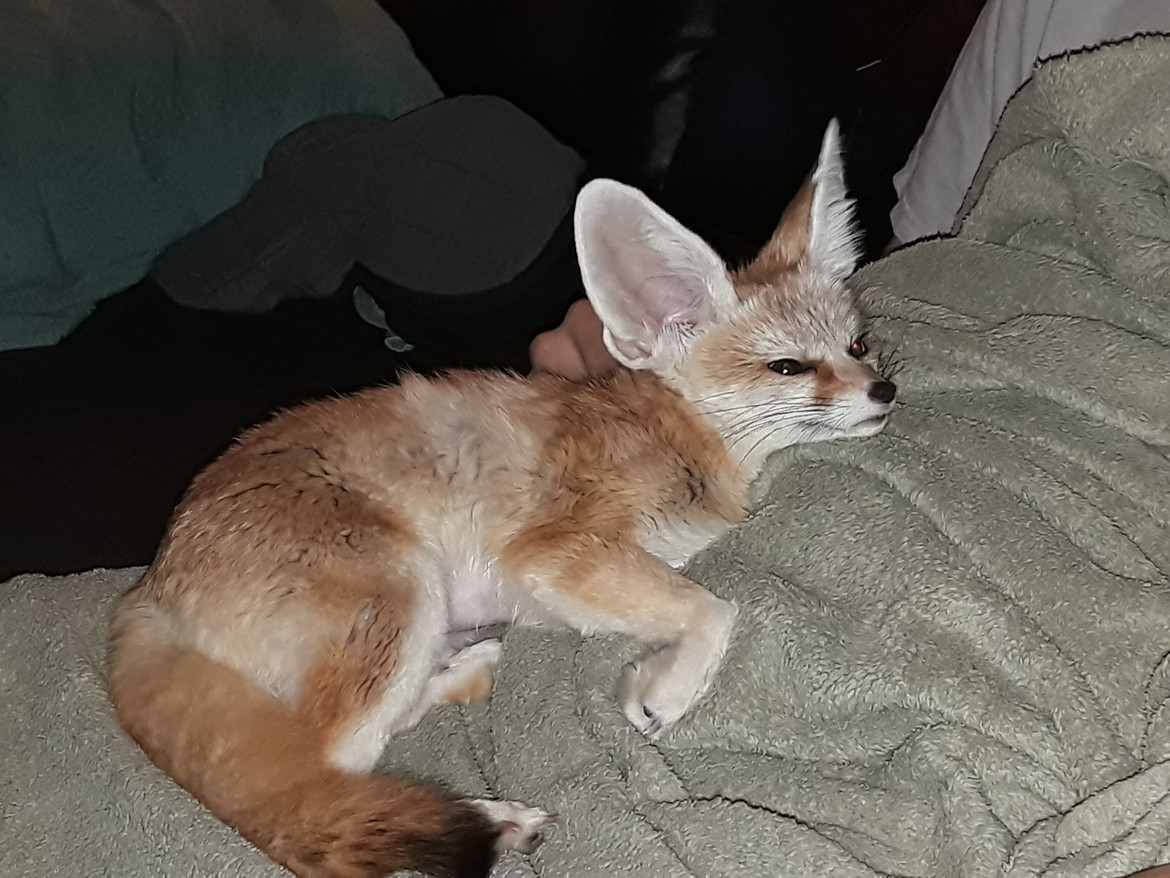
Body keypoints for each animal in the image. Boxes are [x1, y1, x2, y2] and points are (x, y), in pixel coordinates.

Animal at [107, 120, 896, 878]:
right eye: (788, 367)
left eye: (858, 346)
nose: (886, 392)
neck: (679, 432)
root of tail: (145, 590)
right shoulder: (554, 552)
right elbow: (716, 611)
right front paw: (665, 691)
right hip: (400, 593)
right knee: (325, 774)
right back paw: (493, 817)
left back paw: (471, 675)